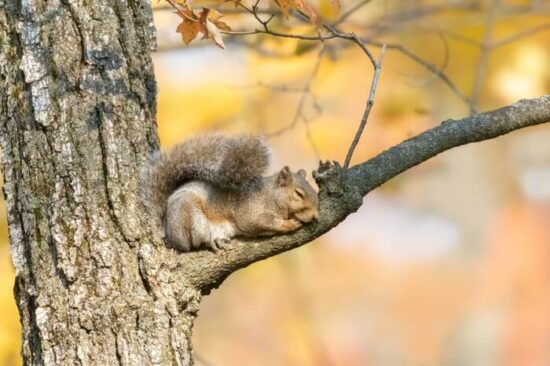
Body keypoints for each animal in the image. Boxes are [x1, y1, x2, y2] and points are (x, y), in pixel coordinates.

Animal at [142, 134, 322, 252]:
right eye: (299, 194)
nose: (316, 215)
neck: (270, 196)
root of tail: (167, 230)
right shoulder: (250, 211)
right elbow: (260, 221)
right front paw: (288, 224)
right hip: (190, 216)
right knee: (194, 243)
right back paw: (212, 241)